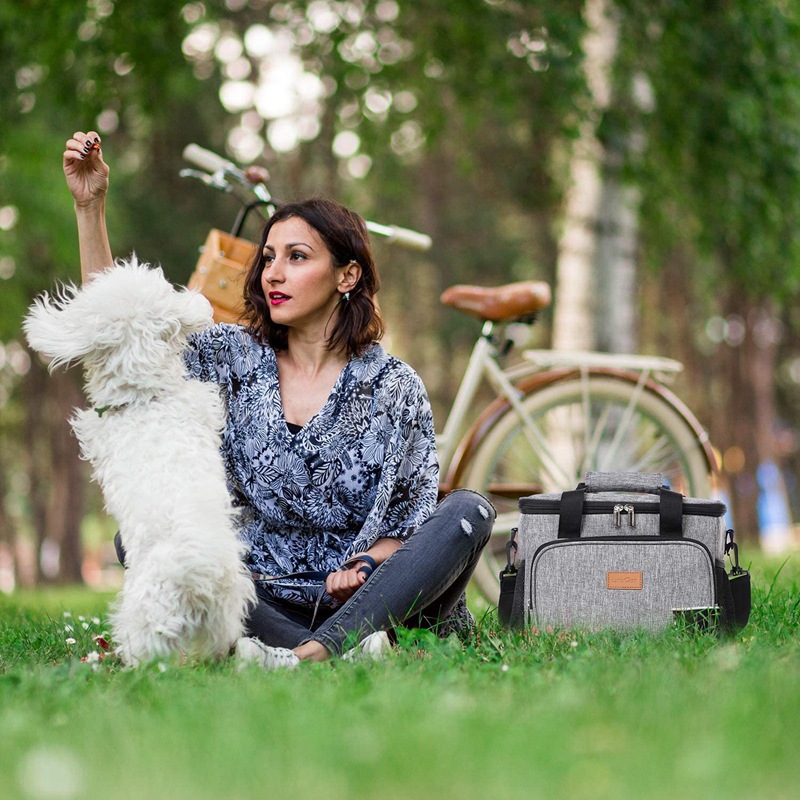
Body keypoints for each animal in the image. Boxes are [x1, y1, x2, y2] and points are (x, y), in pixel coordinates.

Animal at [25, 260, 255, 664]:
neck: (146, 399)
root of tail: (196, 570)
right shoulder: (200, 404)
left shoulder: (97, 431)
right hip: (224, 614)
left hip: (142, 612)